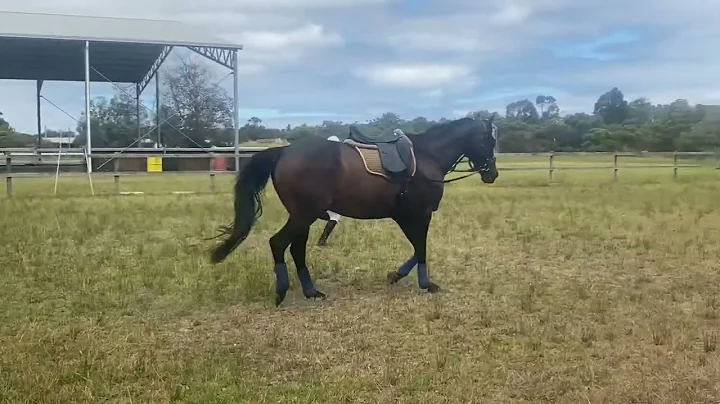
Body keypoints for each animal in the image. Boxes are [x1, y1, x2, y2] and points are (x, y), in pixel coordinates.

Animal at [210, 115, 500, 304]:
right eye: (489, 140)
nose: (493, 174)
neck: (427, 156)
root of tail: (284, 151)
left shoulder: (406, 216)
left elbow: (417, 249)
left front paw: (396, 275)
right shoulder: (419, 214)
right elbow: (422, 248)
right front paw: (425, 283)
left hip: (303, 217)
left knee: (296, 249)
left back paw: (311, 291)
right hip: (304, 215)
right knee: (279, 243)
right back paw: (282, 290)